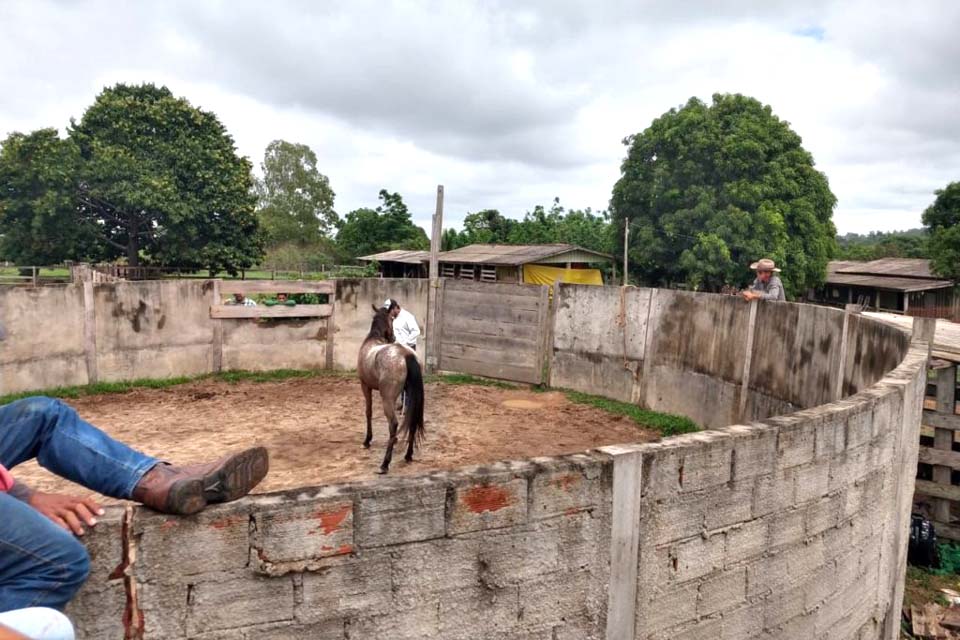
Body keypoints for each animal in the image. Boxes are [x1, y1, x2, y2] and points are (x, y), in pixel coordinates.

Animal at [356, 302, 424, 472]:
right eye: (393, 319)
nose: (393, 337)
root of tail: (406, 354)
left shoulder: (365, 386)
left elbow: (368, 412)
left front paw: (367, 440)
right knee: (411, 419)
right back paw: (408, 455)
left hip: (386, 398)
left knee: (393, 423)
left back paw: (385, 464)